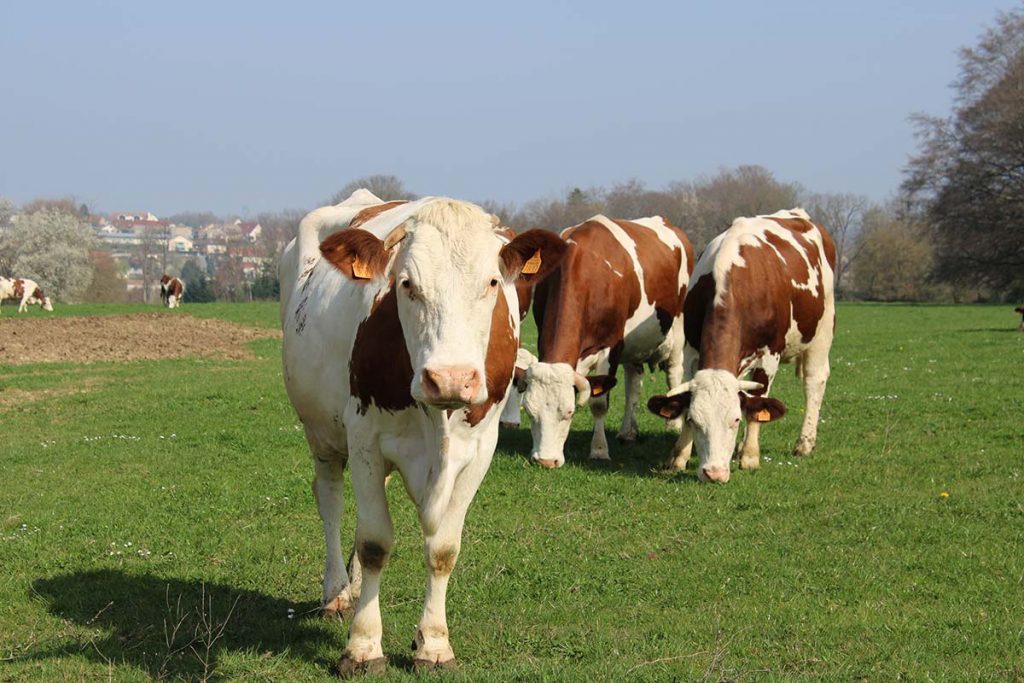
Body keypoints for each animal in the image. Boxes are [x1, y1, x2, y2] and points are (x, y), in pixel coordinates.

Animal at [279, 189, 566, 674]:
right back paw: (337, 591)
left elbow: (443, 549)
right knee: (331, 503)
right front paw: (363, 646)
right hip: (322, 434)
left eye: (492, 282)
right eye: (406, 284)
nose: (450, 379)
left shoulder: (481, 449)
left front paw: (433, 644)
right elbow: (375, 542)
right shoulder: (365, 439)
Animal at [515, 214, 694, 468]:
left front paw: (599, 450)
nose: (546, 461)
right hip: (634, 343)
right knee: (633, 384)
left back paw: (673, 424)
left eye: (569, 412)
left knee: (674, 373)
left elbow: (599, 404)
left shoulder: (610, 346)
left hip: (677, 332)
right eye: (530, 412)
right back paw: (628, 432)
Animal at [647, 208, 836, 483]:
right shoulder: (692, 351)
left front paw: (749, 456)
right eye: (694, 420)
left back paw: (804, 443)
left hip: (822, 331)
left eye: (735, 420)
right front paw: (679, 456)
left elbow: (758, 401)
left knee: (814, 382)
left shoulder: (769, 355)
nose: (713, 473)